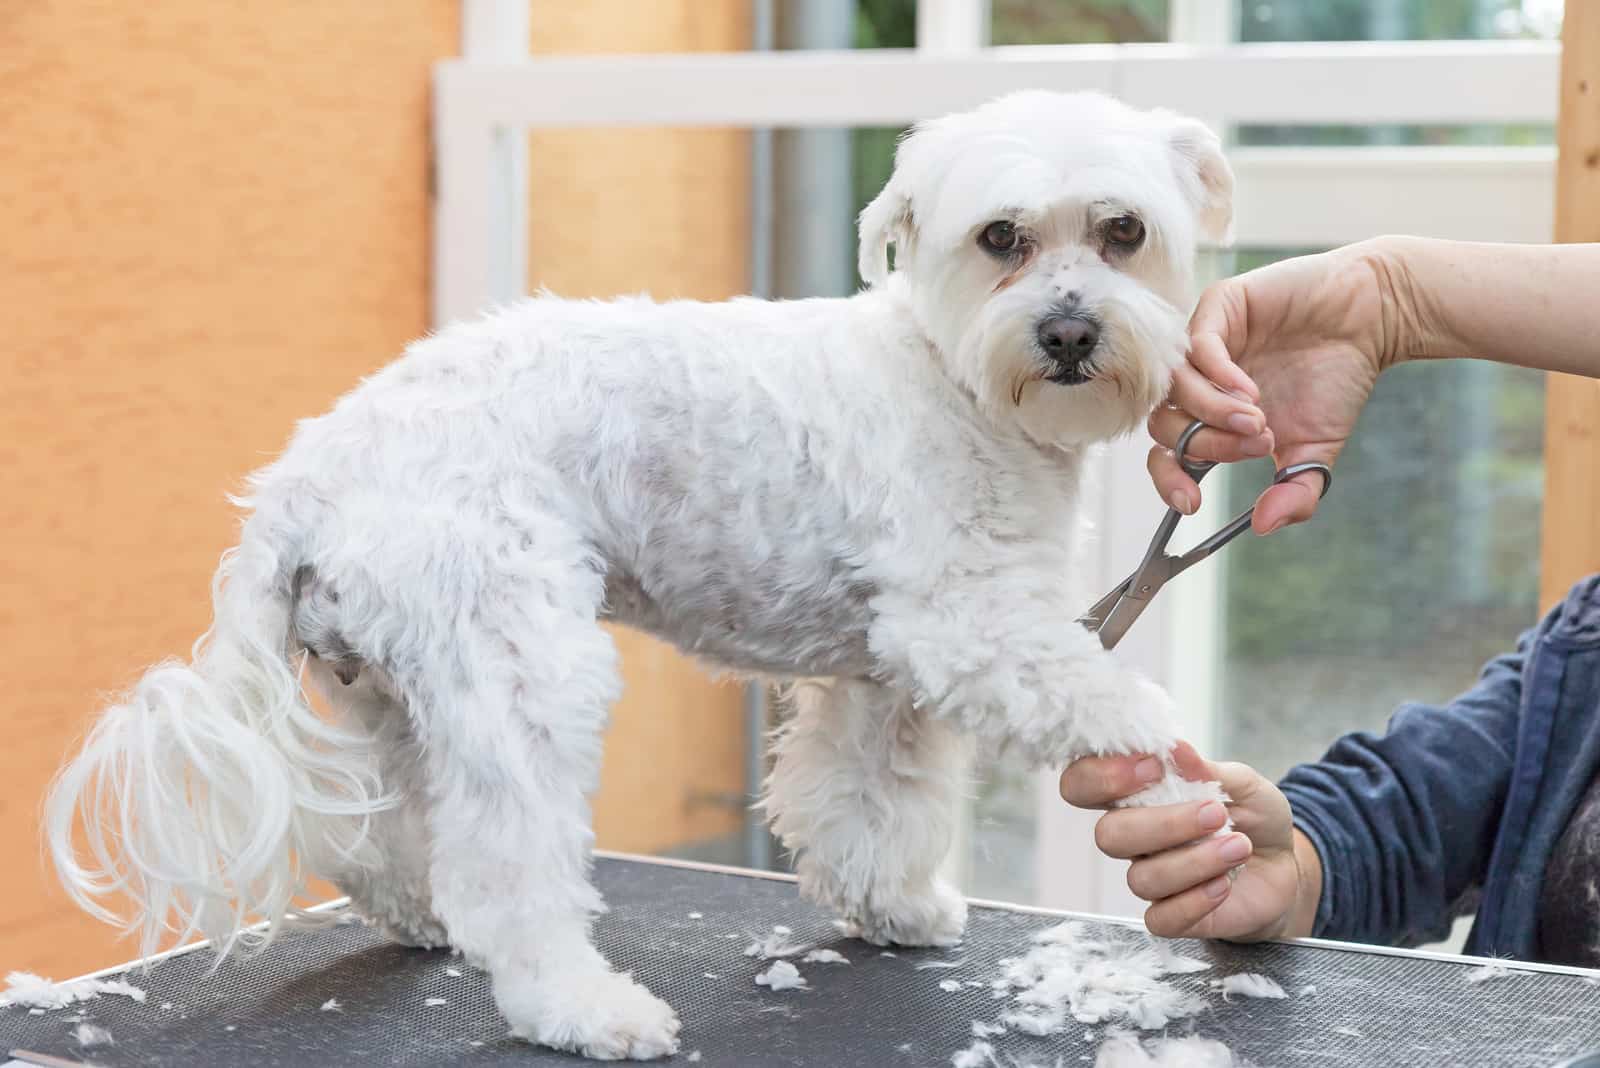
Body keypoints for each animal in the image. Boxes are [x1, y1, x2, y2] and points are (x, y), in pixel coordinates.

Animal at [46, 91, 1222, 1061]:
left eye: (1123, 231)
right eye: (999, 238)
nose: (1067, 332)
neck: (953, 376)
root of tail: (308, 476)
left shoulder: (880, 674)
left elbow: (875, 792)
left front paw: (890, 904)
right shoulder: (967, 629)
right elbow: (1120, 709)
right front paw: (1176, 790)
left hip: (405, 685)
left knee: (382, 828)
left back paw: (417, 911)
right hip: (524, 665)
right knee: (508, 876)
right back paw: (581, 1008)